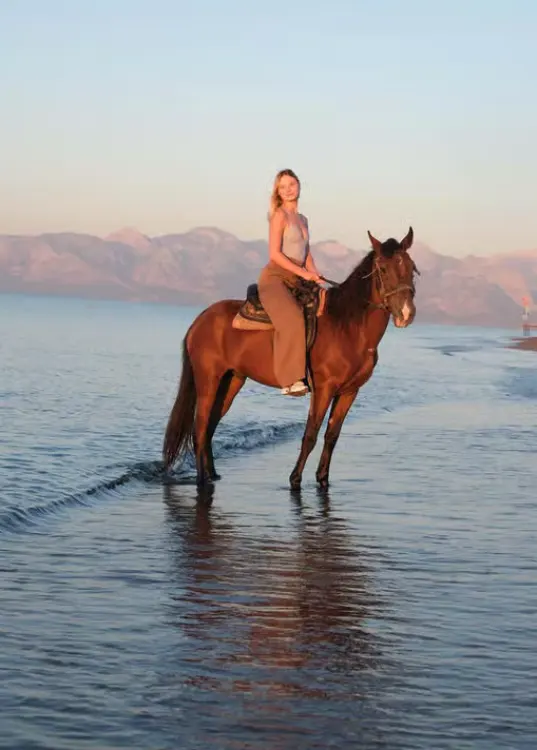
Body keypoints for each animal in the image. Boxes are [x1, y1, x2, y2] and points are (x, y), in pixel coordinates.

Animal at [162, 227, 418, 489]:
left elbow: (332, 436)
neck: (347, 327)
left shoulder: (349, 392)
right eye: (383, 269)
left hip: (231, 381)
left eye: (411, 268)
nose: (406, 314)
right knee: (200, 428)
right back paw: (202, 480)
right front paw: (295, 479)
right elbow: (311, 435)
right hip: (208, 380)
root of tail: (200, 320)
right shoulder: (323, 389)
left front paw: (322, 479)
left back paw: (212, 474)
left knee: (210, 426)